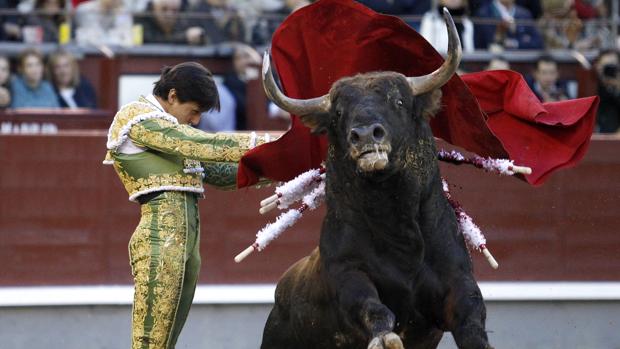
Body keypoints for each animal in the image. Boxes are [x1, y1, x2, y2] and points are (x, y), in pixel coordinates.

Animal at [260, 10, 492, 348]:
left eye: (399, 102)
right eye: (338, 113)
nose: (366, 134)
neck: (395, 222)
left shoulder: (458, 280)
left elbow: (472, 315)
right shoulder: (348, 276)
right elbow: (372, 307)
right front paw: (386, 338)